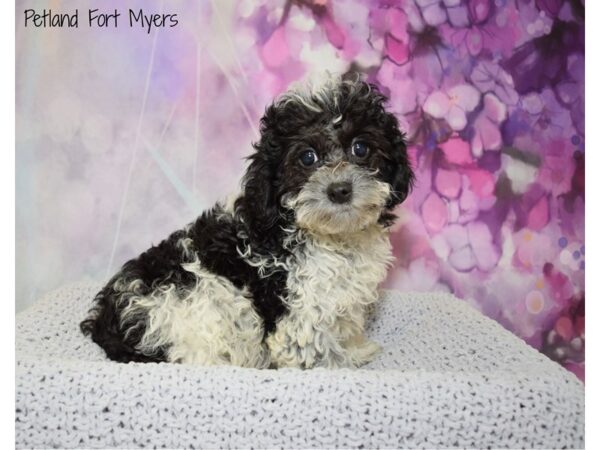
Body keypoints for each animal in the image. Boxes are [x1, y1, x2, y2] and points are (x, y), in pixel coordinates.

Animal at [81, 74, 412, 370]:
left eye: (361, 148)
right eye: (307, 157)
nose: (340, 190)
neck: (329, 234)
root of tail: (108, 322)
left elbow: (341, 325)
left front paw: (355, 350)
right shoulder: (299, 302)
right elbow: (309, 344)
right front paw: (332, 368)